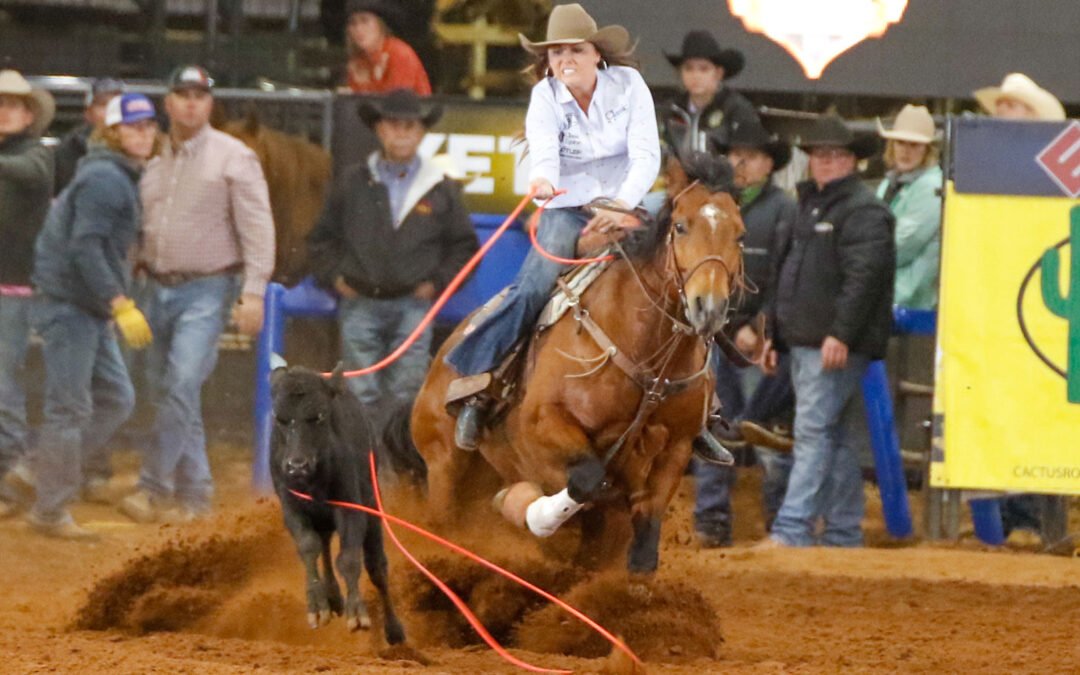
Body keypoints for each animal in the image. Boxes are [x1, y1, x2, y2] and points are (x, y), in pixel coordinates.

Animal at [404, 152, 746, 575]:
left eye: (740, 236)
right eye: (681, 226)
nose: (708, 307)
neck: (647, 362)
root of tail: (445, 353)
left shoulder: (676, 448)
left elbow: (645, 536)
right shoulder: (544, 424)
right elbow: (585, 481)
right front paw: (529, 511)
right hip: (443, 466)